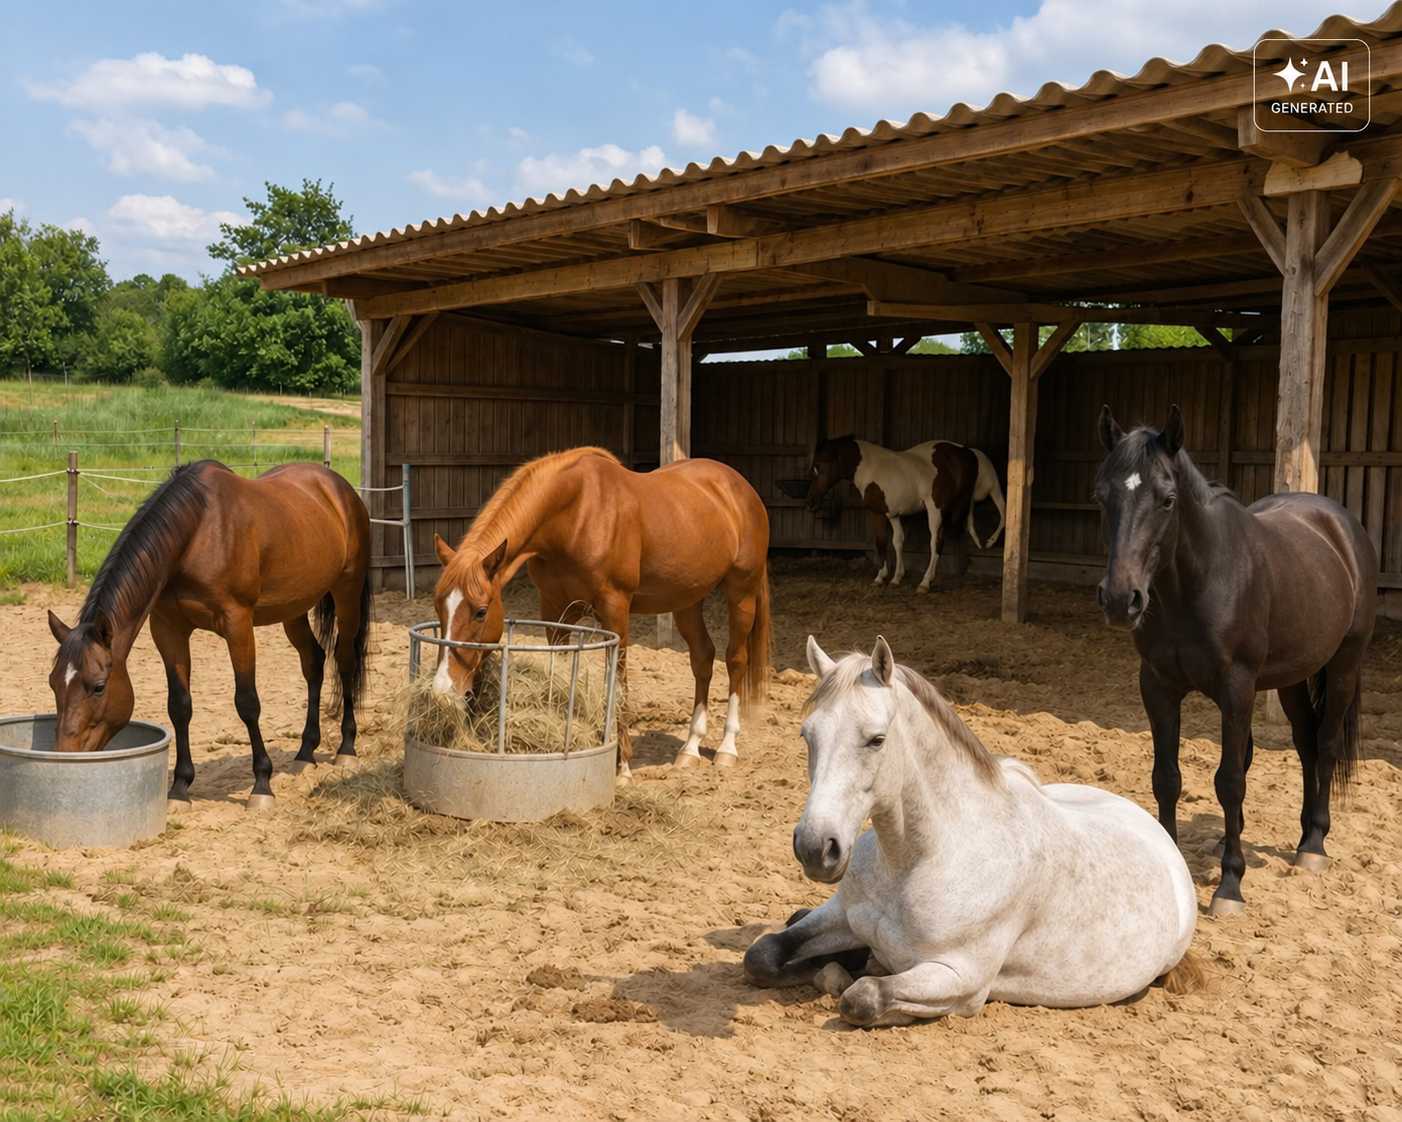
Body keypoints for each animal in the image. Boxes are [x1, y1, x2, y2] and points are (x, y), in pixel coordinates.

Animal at [46, 461, 372, 810]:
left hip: (347, 592)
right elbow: (179, 706)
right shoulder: (168, 629)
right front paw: (180, 787)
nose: (65, 755)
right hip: (294, 608)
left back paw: (346, 748)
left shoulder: (237, 624)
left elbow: (247, 702)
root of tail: (337, 486)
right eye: (53, 684)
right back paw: (305, 752)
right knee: (314, 662)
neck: (197, 533)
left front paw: (262, 784)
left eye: (98, 687)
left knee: (345, 660)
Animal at [430, 447, 771, 780]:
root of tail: (740, 488)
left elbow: (618, 685)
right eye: (438, 607)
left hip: (741, 593)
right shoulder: (555, 611)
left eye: (480, 612)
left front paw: (623, 767)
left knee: (735, 660)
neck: (576, 513)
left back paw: (727, 748)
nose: (443, 690)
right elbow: (562, 674)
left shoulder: (614, 609)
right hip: (687, 601)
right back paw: (690, 748)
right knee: (702, 659)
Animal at [744, 635, 1200, 1026]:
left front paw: (850, 978)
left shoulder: (960, 977)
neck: (917, 858)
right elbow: (762, 954)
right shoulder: (839, 914)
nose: (815, 848)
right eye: (807, 735)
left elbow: (865, 997)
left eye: (876, 740)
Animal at [805, 435, 1005, 592]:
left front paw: (880, 577)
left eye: (818, 467)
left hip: (936, 509)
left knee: (937, 542)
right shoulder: (893, 514)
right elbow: (898, 542)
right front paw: (896, 578)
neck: (869, 467)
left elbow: (881, 542)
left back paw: (925, 583)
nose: (810, 503)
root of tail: (966, 451)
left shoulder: (878, 514)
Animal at [1096, 404, 1377, 915]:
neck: (1197, 582)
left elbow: (1230, 779)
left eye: (1168, 500)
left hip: (1344, 665)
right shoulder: (1158, 687)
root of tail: (1341, 526)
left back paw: (1314, 846)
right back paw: (1301, 834)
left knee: (1325, 745)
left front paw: (1230, 885)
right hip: (1291, 680)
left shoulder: (1236, 689)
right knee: (1306, 745)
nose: (1121, 599)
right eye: (1101, 495)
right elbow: (1167, 777)